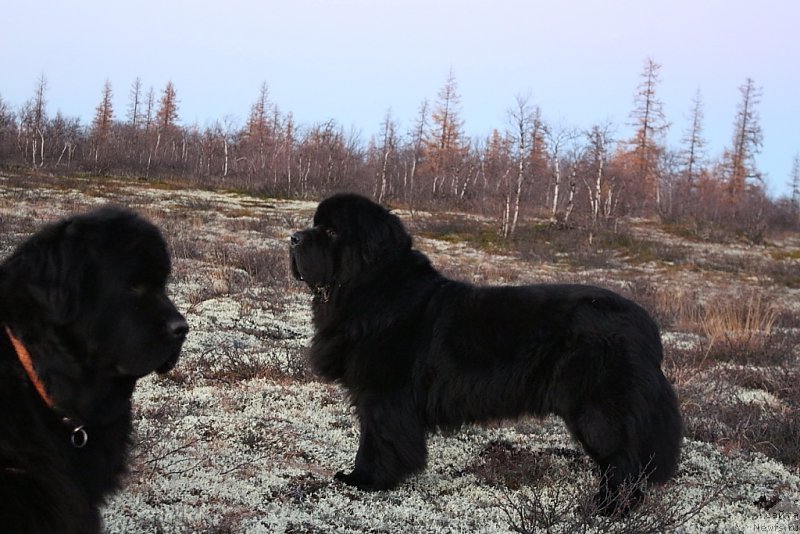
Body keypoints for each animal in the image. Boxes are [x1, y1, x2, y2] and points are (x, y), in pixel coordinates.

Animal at [290, 195, 684, 516]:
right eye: (313, 224)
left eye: (330, 231)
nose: (293, 238)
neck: (373, 289)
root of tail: (647, 326)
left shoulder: (383, 396)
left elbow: (377, 441)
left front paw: (365, 480)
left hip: (599, 411)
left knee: (622, 462)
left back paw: (606, 510)